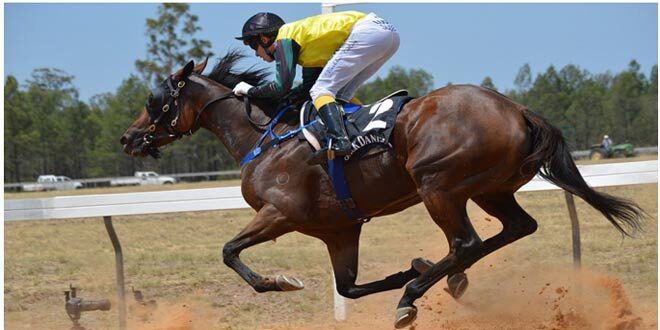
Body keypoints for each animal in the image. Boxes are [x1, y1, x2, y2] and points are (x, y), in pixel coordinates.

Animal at [121, 52, 640, 328]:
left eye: (156, 100)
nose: (128, 138)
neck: (265, 140)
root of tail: (517, 110)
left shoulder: (280, 213)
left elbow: (230, 251)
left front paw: (280, 281)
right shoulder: (338, 230)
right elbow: (348, 287)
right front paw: (417, 266)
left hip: (437, 184)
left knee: (466, 242)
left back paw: (413, 296)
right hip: (489, 189)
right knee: (515, 228)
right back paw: (445, 280)